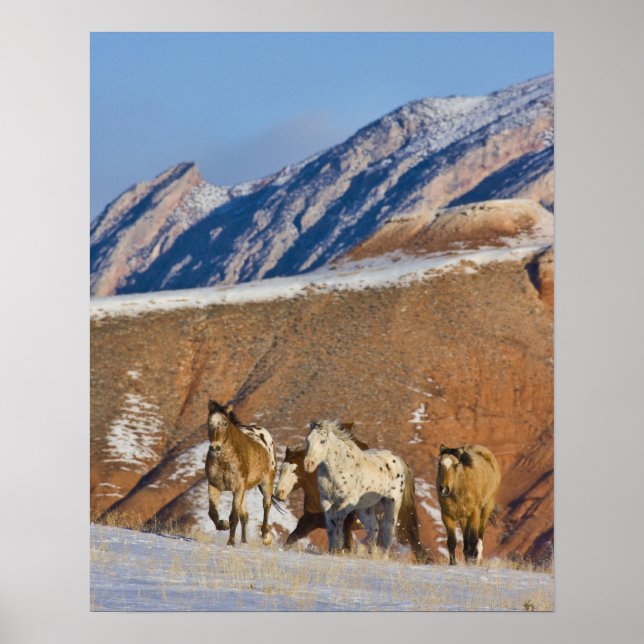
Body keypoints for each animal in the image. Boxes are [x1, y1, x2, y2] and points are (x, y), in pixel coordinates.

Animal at [205, 399, 280, 547]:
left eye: (225, 423)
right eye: (209, 422)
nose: (215, 447)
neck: (224, 461)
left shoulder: (237, 488)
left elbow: (233, 516)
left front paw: (230, 542)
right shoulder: (214, 486)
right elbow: (212, 513)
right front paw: (223, 525)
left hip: (267, 481)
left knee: (266, 505)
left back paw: (265, 536)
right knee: (245, 515)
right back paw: (244, 542)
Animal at [303, 419, 419, 557]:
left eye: (322, 441)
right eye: (307, 439)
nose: (308, 464)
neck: (338, 469)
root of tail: (397, 459)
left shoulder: (348, 501)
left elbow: (337, 519)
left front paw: (339, 548)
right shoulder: (326, 502)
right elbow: (330, 525)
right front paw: (333, 549)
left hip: (391, 504)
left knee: (388, 531)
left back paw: (380, 556)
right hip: (366, 509)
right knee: (374, 528)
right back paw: (369, 552)